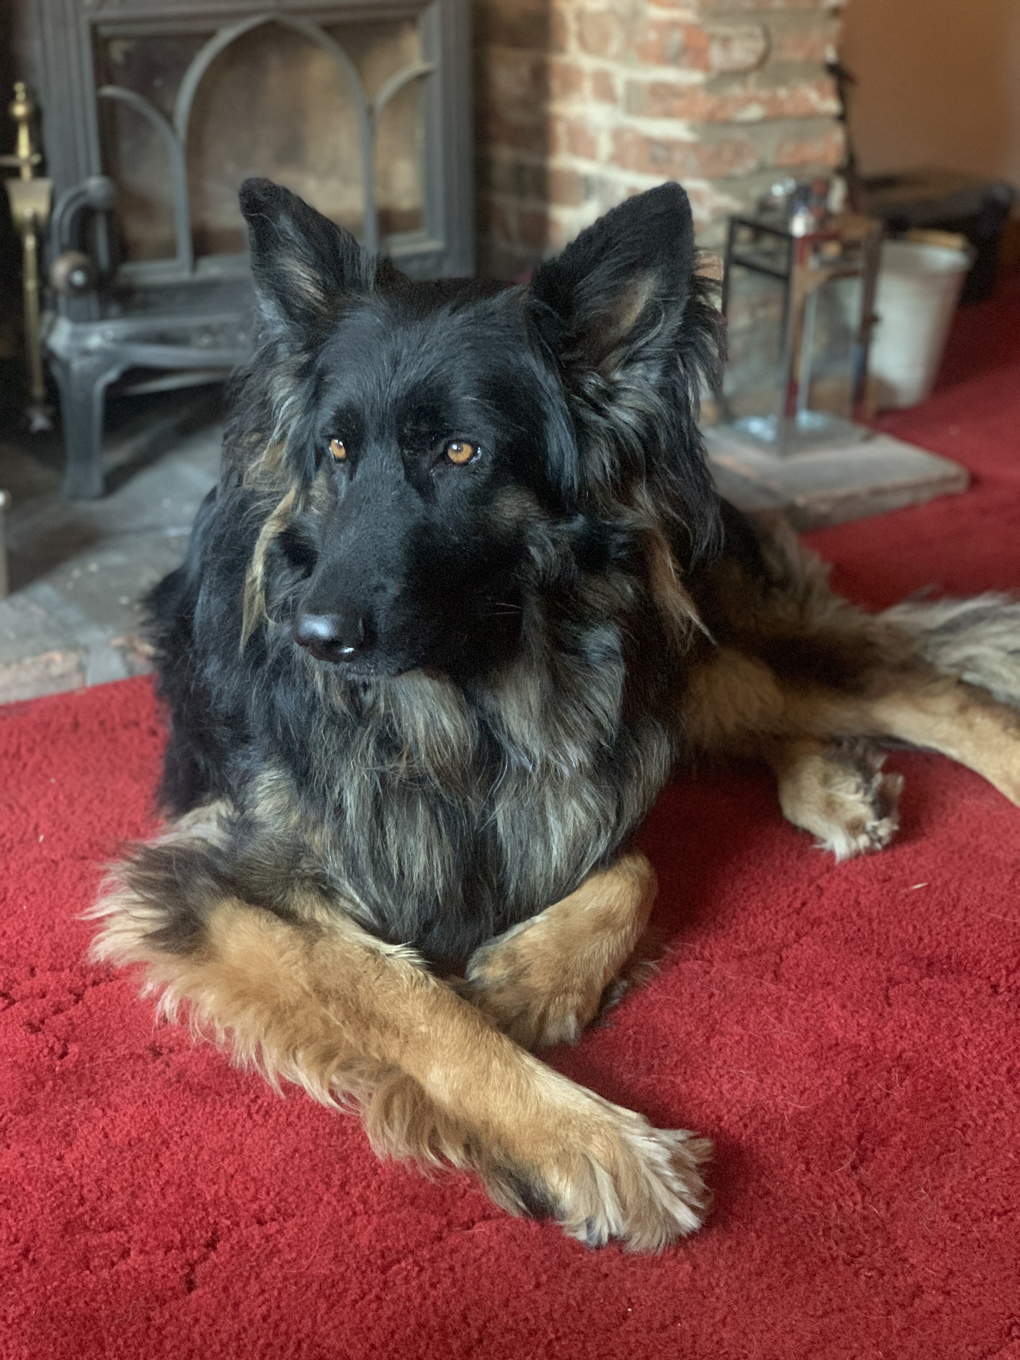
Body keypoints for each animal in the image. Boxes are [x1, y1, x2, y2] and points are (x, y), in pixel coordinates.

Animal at [86, 178, 1020, 1251]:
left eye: (461, 451)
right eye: (335, 448)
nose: (312, 636)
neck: (473, 708)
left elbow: (634, 863)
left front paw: (533, 989)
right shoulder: (222, 880)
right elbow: (416, 999)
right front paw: (602, 1143)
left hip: (677, 639)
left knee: (904, 682)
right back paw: (833, 785)